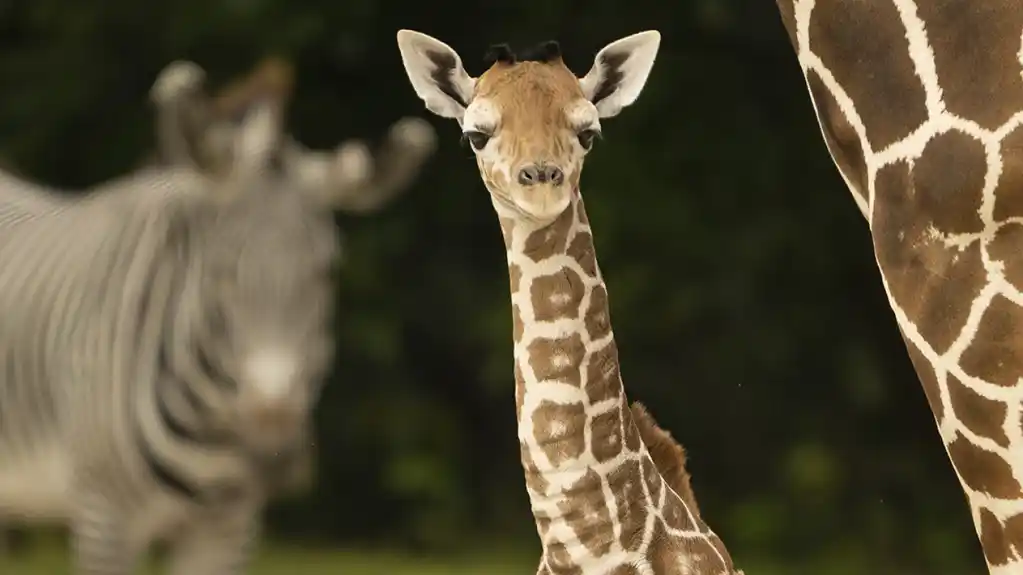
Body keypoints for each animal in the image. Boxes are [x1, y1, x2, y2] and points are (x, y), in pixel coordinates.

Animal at [0, 60, 435, 568]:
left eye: (327, 271)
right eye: (221, 272)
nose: (273, 447)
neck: (212, 429)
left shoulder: (227, 528)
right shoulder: (104, 518)